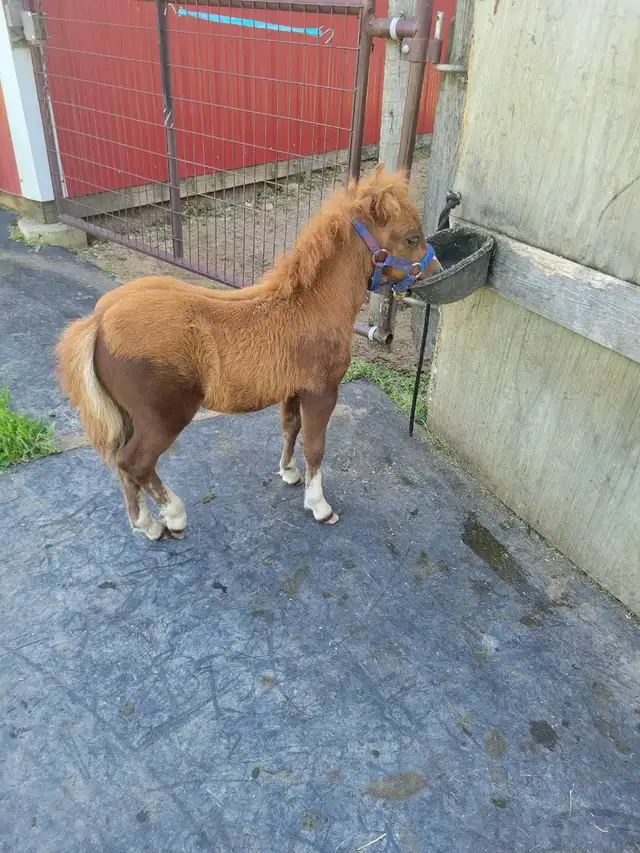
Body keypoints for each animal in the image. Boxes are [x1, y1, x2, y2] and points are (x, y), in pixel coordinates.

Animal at [56, 165, 441, 541]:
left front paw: (288, 472)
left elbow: (290, 428)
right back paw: (173, 517)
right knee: (133, 463)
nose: (435, 272)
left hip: (128, 416)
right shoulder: (322, 391)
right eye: (411, 237)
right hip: (163, 416)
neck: (313, 305)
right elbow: (315, 446)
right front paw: (319, 505)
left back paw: (146, 524)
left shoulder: (293, 389)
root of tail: (99, 321)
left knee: (121, 464)